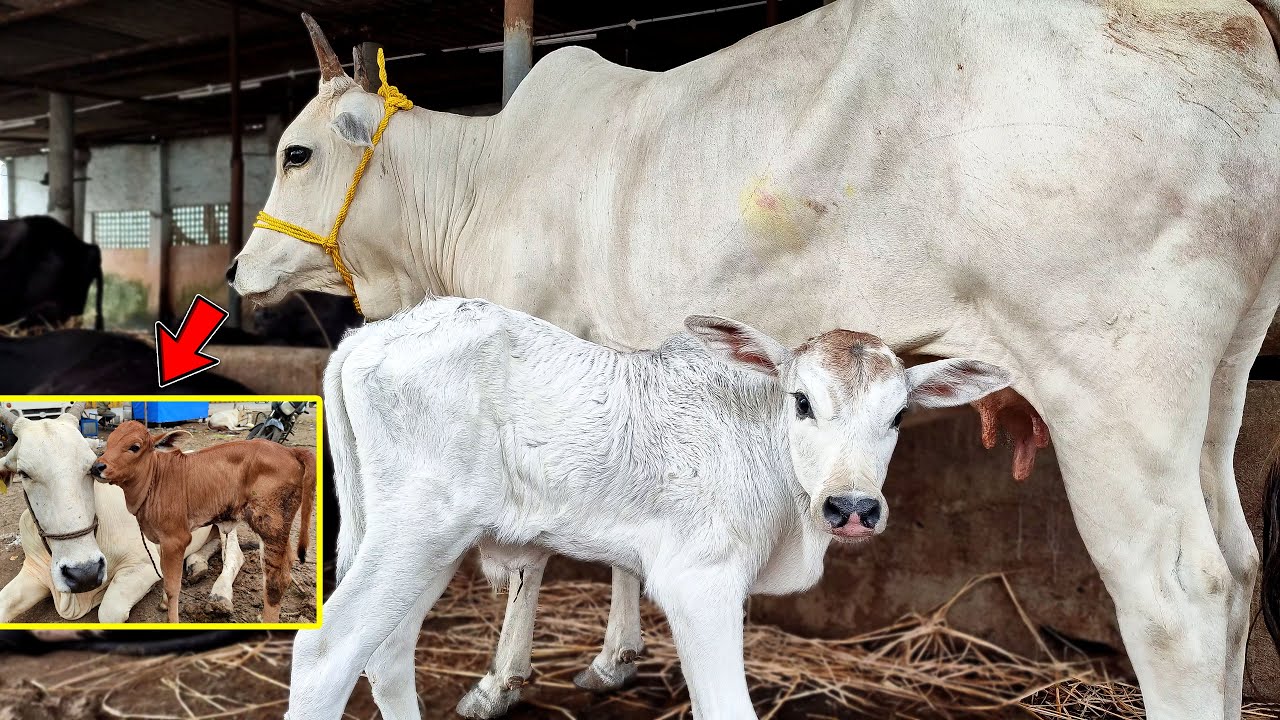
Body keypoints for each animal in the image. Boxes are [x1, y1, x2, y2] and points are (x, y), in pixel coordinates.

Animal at [0, 406, 244, 623]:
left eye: (89, 467)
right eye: (23, 473)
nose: (85, 573)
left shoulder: (144, 565)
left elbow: (109, 612)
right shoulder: (33, 571)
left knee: (234, 556)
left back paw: (220, 596)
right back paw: (197, 565)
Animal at [92, 421, 315, 623]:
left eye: (135, 447)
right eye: (109, 443)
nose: (97, 467)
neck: (153, 481)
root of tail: (291, 451)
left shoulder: (176, 539)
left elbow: (173, 587)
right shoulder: (162, 541)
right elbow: (165, 574)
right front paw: (163, 603)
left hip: (269, 526)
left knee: (274, 579)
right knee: (287, 566)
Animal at [287, 298, 1011, 719]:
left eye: (899, 415)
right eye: (802, 401)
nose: (852, 506)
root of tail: (371, 335)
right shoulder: (700, 580)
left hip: (424, 539)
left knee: (386, 651)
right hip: (417, 529)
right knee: (327, 649)